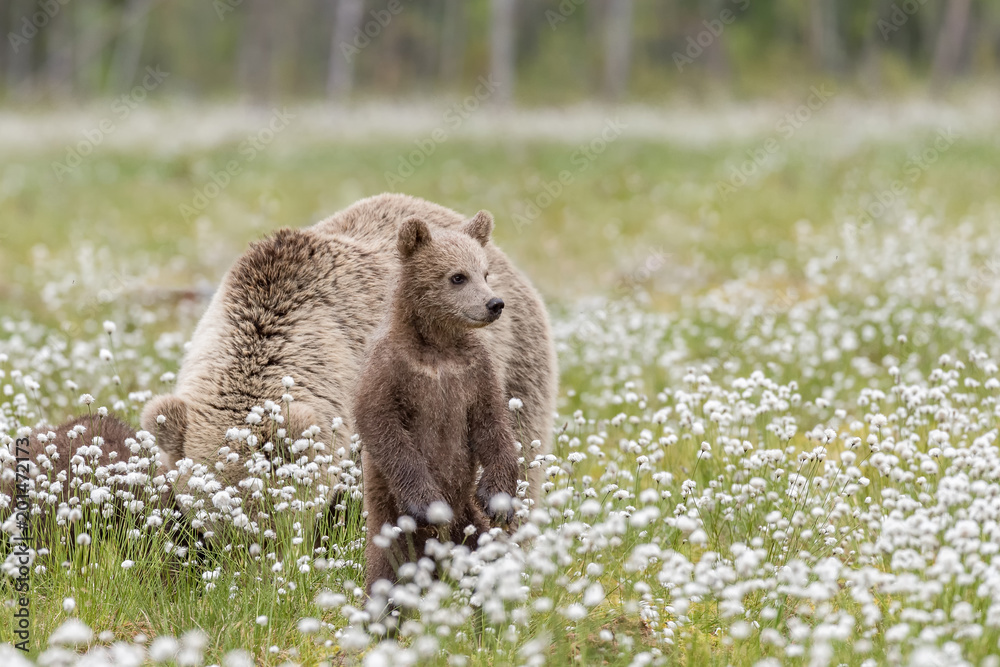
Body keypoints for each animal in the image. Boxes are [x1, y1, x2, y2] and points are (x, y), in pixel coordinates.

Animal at [355, 211, 520, 593]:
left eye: (485, 272)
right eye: (457, 276)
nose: (494, 304)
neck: (438, 348)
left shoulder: (474, 372)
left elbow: (493, 424)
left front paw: (498, 498)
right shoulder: (392, 369)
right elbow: (382, 425)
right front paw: (428, 503)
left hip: (471, 526)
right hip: (391, 530)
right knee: (385, 577)